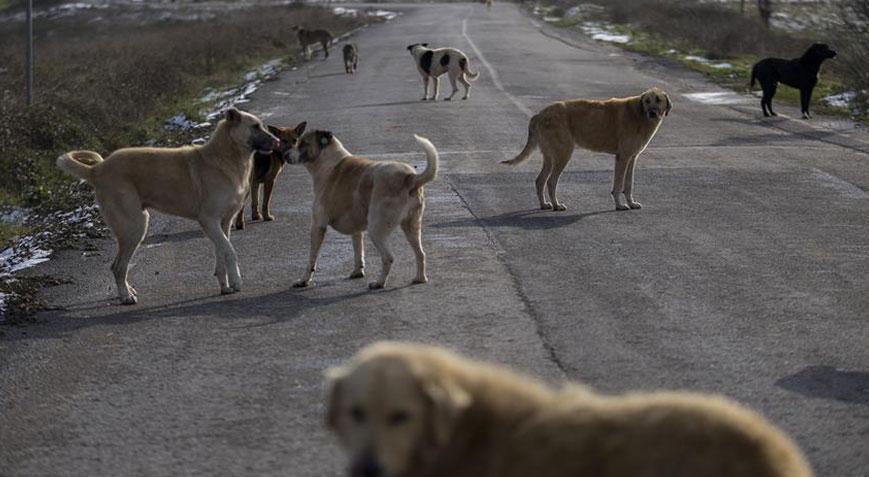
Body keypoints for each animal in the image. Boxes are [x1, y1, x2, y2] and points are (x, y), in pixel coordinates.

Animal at [56, 108, 278, 304]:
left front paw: (225, 286)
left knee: (119, 266)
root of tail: (97, 170)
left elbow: (221, 253)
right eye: (255, 126)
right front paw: (237, 281)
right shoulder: (208, 221)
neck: (225, 157)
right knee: (118, 267)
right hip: (134, 227)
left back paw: (128, 291)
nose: (277, 142)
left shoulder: (223, 223)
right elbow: (230, 251)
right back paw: (126, 297)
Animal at [286, 129, 438, 290]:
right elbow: (358, 250)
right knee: (421, 253)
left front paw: (304, 280)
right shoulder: (356, 228)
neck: (327, 162)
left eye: (303, 143)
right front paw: (358, 271)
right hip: (411, 226)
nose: (285, 155)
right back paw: (420, 278)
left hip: (376, 229)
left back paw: (379, 283)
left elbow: (311, 259)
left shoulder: (317, 226)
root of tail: (410, 177)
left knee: (388, 258)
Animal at [502, 86, 672, 212]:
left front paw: (631, 203)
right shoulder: (622, 158)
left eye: (658, 100)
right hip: (563, 154)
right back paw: (557, 205)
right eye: (647, 101)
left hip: (550, 157)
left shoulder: (632, 158)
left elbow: (628, 184)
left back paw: (544, 205)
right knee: (551, 181)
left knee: (540, 180)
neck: (639, 114)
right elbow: (618, 185)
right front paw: (619, 205)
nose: (652, 113)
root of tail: (540, 114)